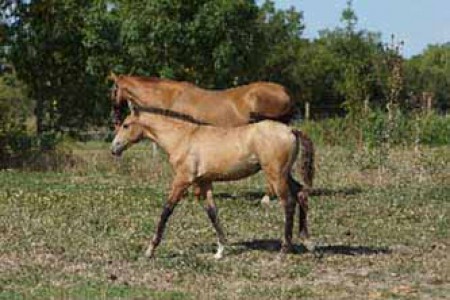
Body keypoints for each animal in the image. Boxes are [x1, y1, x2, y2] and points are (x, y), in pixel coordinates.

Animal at [110, 107, 312, 258]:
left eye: (126, 125)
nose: (114, 148)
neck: (183, 137)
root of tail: (290, 130)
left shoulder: (182, 181)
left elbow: (166, 210)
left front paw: (150, 250)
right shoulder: (204, 183)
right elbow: (212, 212)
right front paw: (221, 250)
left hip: (276, 175)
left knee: (289, 203)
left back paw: (284, 249)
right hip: (284, 175)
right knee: (301, 193)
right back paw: (308, 242)